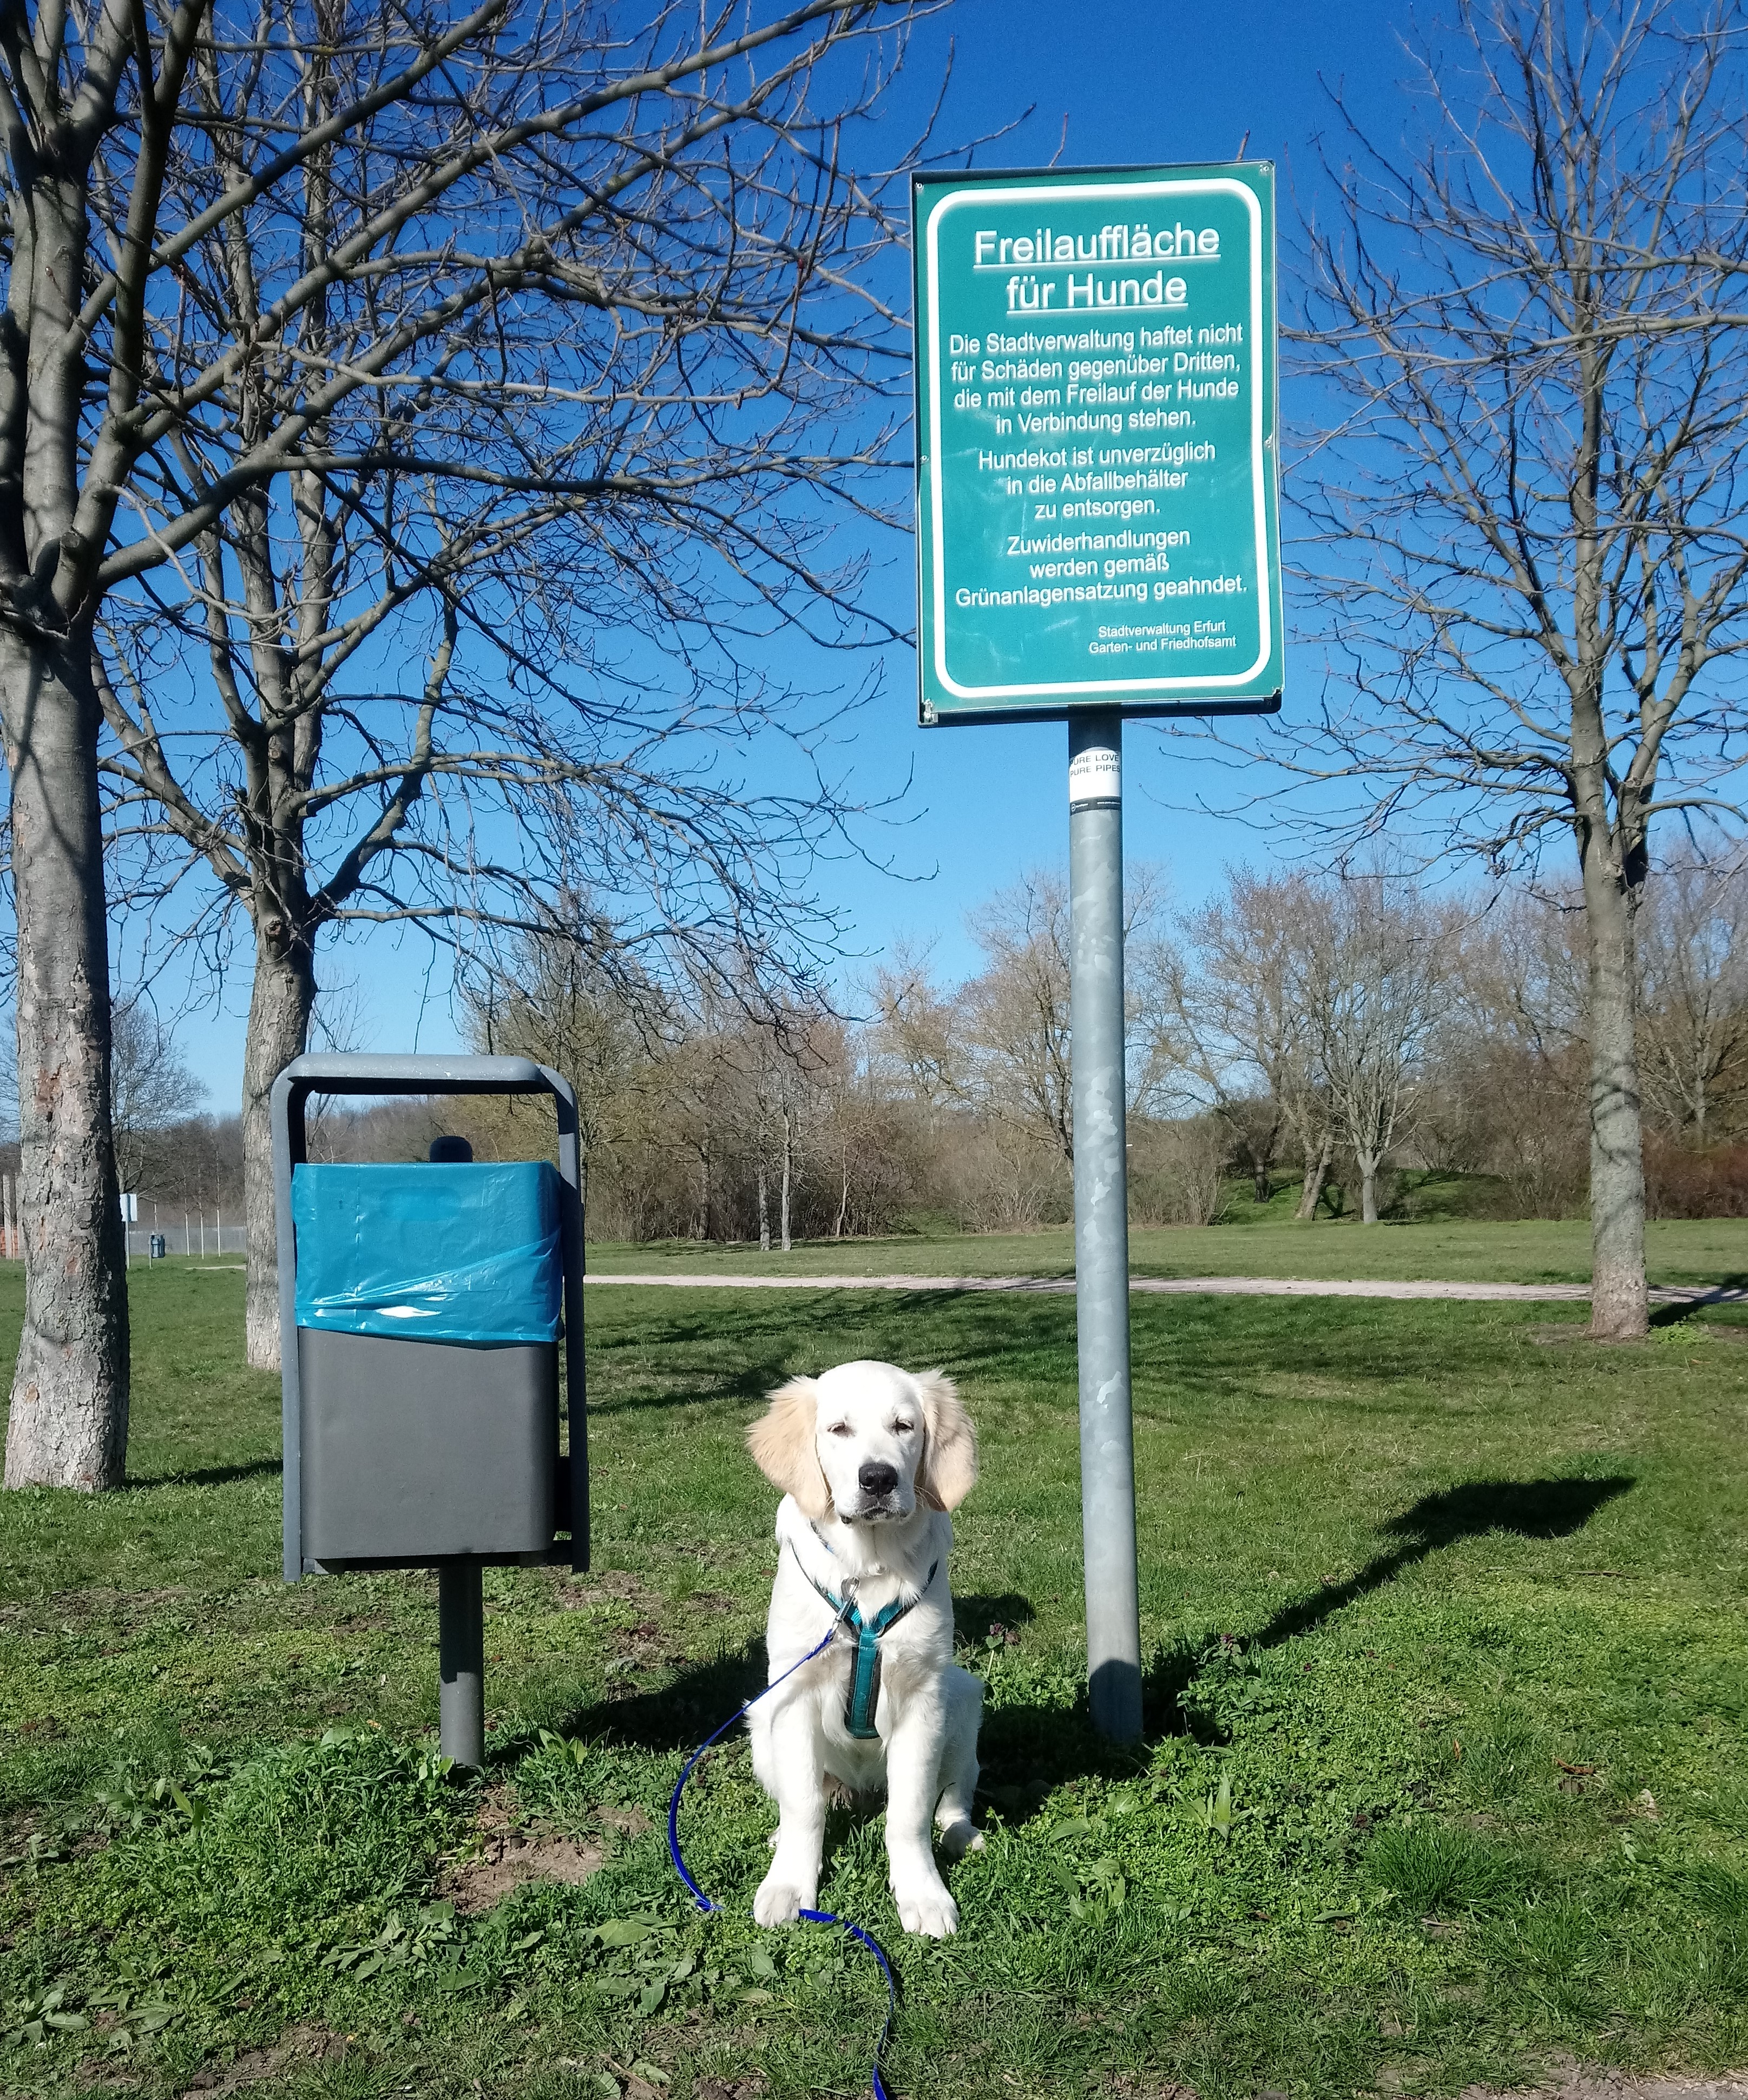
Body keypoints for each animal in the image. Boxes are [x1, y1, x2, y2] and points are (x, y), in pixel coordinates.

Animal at [739, 1361, 983, 1932]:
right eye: (838, 1429)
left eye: (904, 1426)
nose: (878, 1479)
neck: (867, 1569)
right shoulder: (794, 1693)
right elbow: (804, 1805)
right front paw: (789, 1884)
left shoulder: (923, 1694)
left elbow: (911, 1812)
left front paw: (923, 1894)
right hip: (761, 1718)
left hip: (963, 1697)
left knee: (955, 1791)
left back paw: (960, 1833)